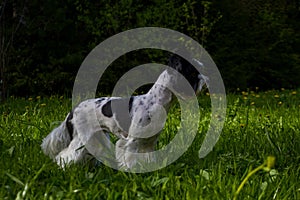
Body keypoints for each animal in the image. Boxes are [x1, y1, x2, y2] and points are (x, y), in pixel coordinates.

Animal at [41, 54, 207, 170]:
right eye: (193, 71)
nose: (206, 79)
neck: (155, 101)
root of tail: (73, 110)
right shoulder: (130, 142)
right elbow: (128, 158)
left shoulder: (149, 143)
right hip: (83, 137)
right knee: (66, 154)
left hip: (97, 136)